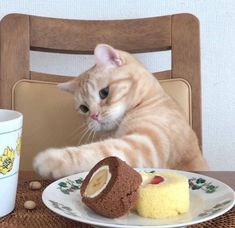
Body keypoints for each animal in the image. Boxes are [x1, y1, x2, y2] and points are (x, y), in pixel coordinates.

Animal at [32, 43, 207, 179]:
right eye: (84, 108)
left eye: (104, 92)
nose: (94, 116)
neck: (147, 100)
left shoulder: (148, 145)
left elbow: (99, 151)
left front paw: (51, 160)